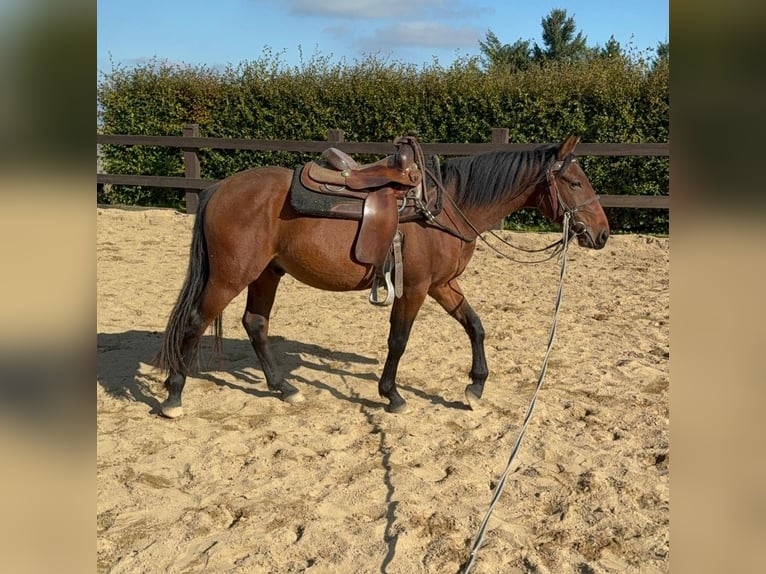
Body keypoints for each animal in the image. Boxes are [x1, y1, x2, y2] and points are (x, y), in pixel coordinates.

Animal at [153, 135, 609, 418]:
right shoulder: (417, 289)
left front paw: (475, 388)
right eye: (574, 181)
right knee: (194, 322)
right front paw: (392, 395)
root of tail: (218, 189)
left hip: (267, 273)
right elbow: (399, 340)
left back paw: (284, 387)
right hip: (230, 277)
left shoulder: (443, 285)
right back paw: (174, 396)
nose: (602, 233)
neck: (445, 207)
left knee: (256, 323)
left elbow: (475, 326)